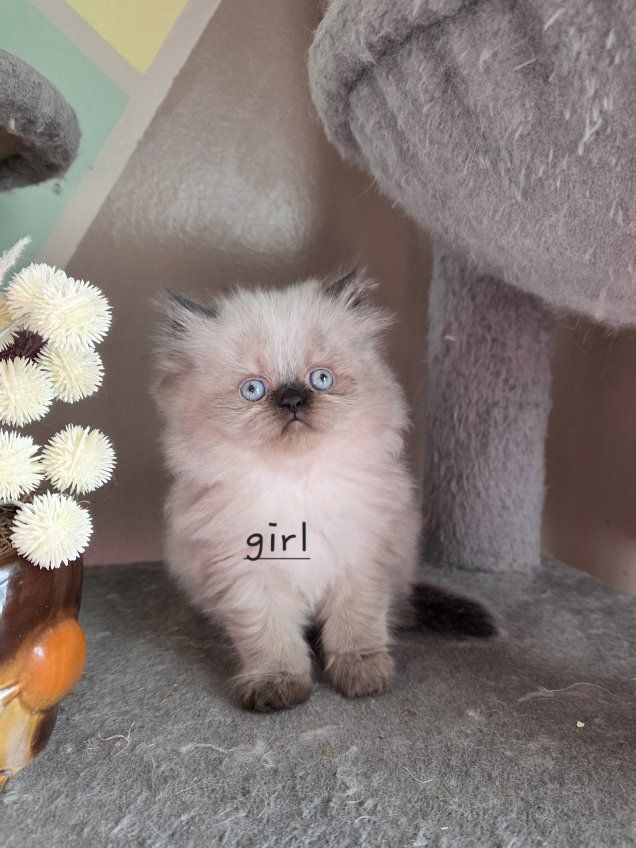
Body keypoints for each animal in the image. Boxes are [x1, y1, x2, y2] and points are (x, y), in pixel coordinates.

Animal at [153, 271, 495, 712]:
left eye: (321, 379)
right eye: (253, 390)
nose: (293, 400)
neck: (297, 484)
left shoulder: (361, 562)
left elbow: (355, 630)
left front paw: (362, 677)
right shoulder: (250, 576)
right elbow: (272, 641)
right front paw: (277, 687)